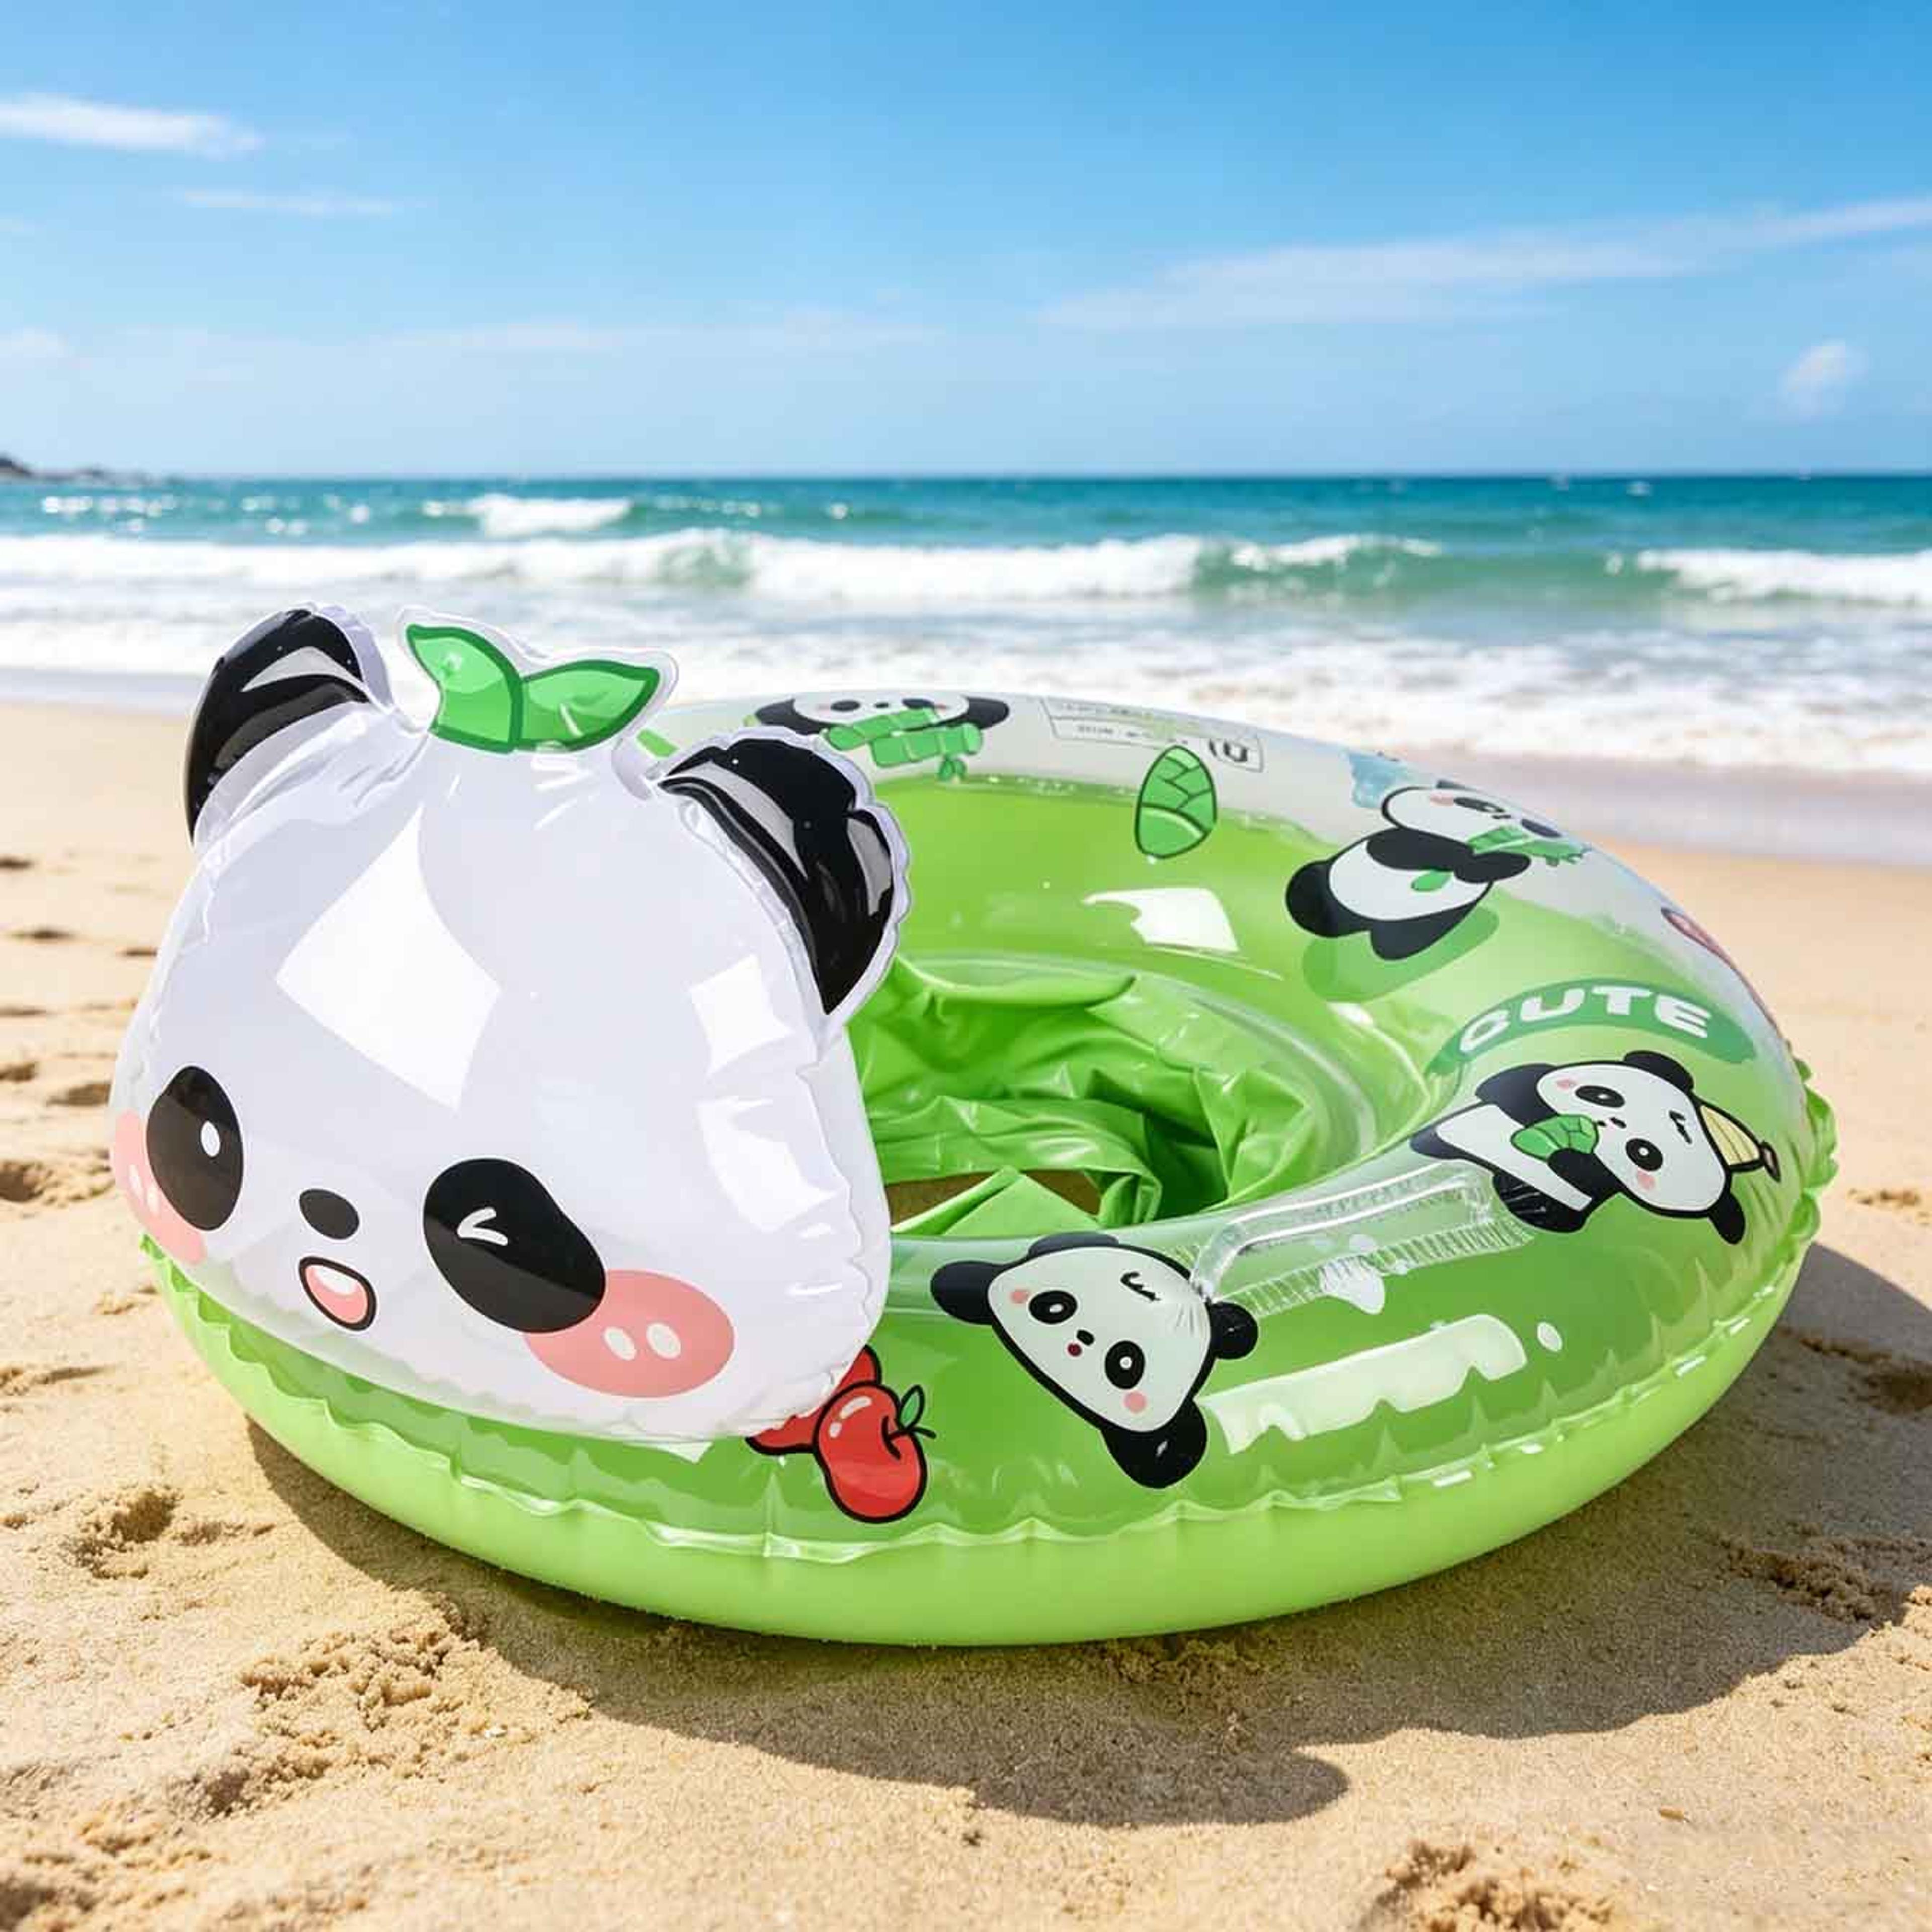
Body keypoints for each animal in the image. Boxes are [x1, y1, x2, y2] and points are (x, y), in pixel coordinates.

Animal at [1287, 784, 1585, 962]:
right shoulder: (1414, 839)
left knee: (1403, 942)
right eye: (1484, 807)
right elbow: (1399, 847)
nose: (1504, 819)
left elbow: (1505, 864)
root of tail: (1364, 922)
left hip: (1429, 921)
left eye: (1539, 829)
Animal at [1410, 1049, 1779, 1243]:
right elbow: (1516, 1086)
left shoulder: (1599, 1183)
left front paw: (1566, 1155)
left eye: (1644, 1153)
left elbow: (1579, 1176)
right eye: (1602, 1096)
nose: (1610, 1123)